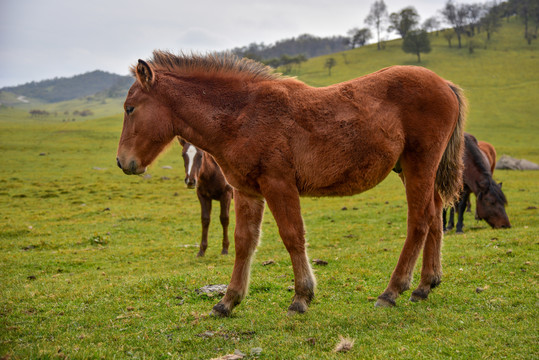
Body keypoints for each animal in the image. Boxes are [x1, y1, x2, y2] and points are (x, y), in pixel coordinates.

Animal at [117, 50, 468, 316]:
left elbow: (292, 236)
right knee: (435, 217)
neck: (242, 115)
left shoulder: (279, 185)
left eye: (130, 108)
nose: (123, 162)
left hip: (419, 165)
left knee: (419, 221)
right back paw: (425, 285)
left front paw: (301, 297)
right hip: (414, 170)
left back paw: (392, 291)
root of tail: (445, 84)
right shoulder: (246, 191)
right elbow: (244, 241)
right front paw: (228, 301)